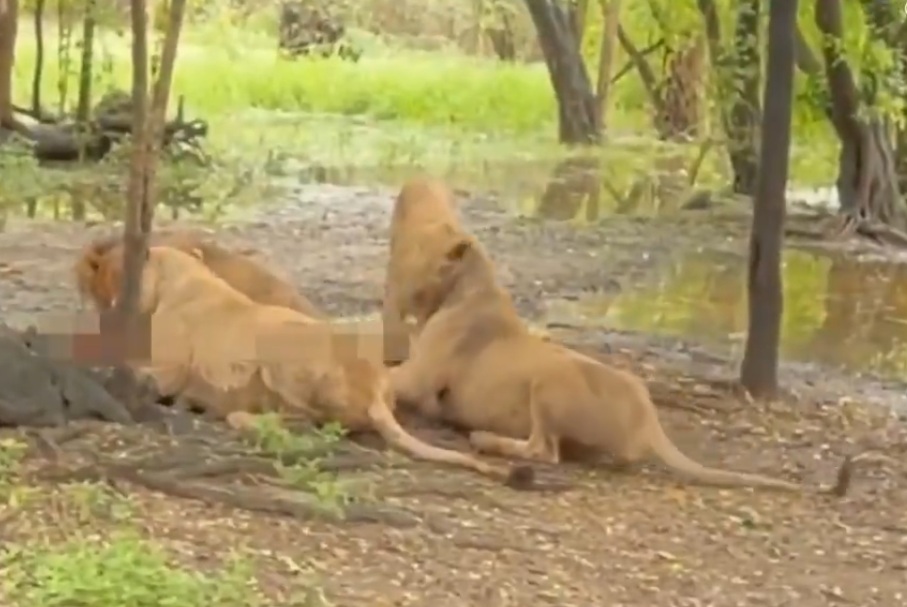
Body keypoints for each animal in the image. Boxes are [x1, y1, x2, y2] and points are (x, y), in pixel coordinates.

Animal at [93, 244, 533, 488]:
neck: (181, 276)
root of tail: (374, 386)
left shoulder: (166, 372)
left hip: (282, 349)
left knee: (309, 424)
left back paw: (242, 416)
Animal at [390, 236, 852, 495]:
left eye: (426, 256)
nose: (403, 283)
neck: (470, 285)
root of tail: (648, 418)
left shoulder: (419, 377)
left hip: (551, 380)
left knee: (545, 451)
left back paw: (485, 439)